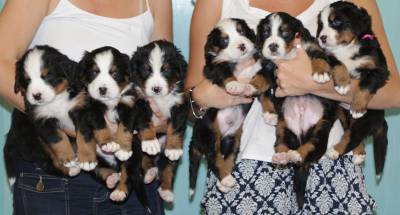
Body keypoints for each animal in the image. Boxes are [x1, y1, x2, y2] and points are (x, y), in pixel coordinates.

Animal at [12, 45, 83, 176]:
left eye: (47, 76)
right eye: (27, 80)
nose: (36, 95)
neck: (56, 100)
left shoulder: (80, 105)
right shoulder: (41, 120)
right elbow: (59, 138)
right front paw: (69, 158)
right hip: (35, 143)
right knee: (49, 163)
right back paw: (72, 169)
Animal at [130, 39, 189, 202]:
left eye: (166, 69)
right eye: (147, 69)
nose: (156, 88)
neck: (160, 99)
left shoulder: (180, 105)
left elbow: (175, 128)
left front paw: (173, 148)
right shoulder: (140, 101)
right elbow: (145, 122)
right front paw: (150, 141)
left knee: (168, 168)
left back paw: (166, 191)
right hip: (136, 143)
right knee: (145, 159)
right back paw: (150, 173)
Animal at [256, 12, 344, 207]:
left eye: (285, 33)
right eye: (265, 33)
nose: (272, 45)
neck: (289, 55)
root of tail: (301, 134)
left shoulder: (313, 48)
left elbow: (319, 58)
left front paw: (320, 73)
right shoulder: (269, 68)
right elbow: (263, 88)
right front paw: (268, 112)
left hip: (321, 129)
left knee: (310, 148)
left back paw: (296, 155)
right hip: (283, 128)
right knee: (281, 144)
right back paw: (282, 157)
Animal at [318, 1, 390, 180]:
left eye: (336, 22)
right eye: (321, 25)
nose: (321, 37)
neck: (347, 47)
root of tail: (381, 121)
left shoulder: (378, 70)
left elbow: (365, 86)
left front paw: (357, 107)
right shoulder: (329, 56)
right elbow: (338, 63)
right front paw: (343, 84)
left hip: (366, 118)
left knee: (354, 135)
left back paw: (335, 150)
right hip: (343, 115)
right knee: (352, 134)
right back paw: (358, 153)